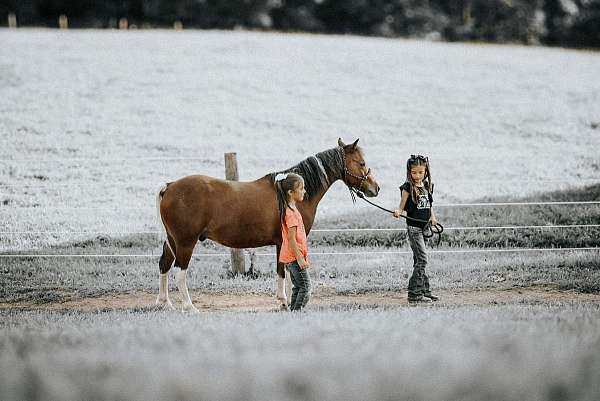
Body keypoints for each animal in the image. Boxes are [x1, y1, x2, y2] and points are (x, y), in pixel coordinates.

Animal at [155, 139, 380, 310]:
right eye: (361, 163)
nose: (375, 188)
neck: (289, 197)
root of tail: (170, 186)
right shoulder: (284, 241)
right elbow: (283, 271)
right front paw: (284, 302)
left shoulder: (282, 244)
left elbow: (284, 270)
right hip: (186, 243)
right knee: (179, 273)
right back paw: (189, 306)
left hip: (173, 242)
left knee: (164, 265)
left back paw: (165, 303)